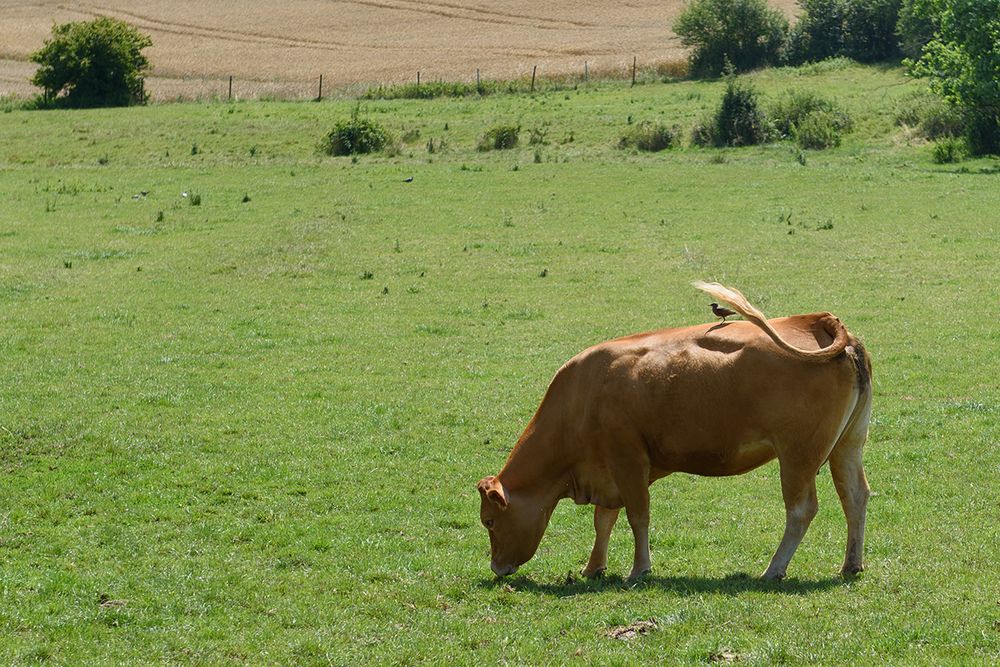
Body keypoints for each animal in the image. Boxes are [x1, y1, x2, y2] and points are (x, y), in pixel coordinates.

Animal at [474, 282, 868, 580]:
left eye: (489, 521)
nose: (497, 568)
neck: (581, 396)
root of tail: (820, 321)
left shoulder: (628, 461)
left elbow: (637, 516)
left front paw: (639, 569)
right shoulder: (609, 471)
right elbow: (604, 519)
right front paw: (593, 568)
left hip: (798, 456)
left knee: (801, 509)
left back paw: (773, 569)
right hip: (848, 445)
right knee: (855, 496)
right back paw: (851, 565)